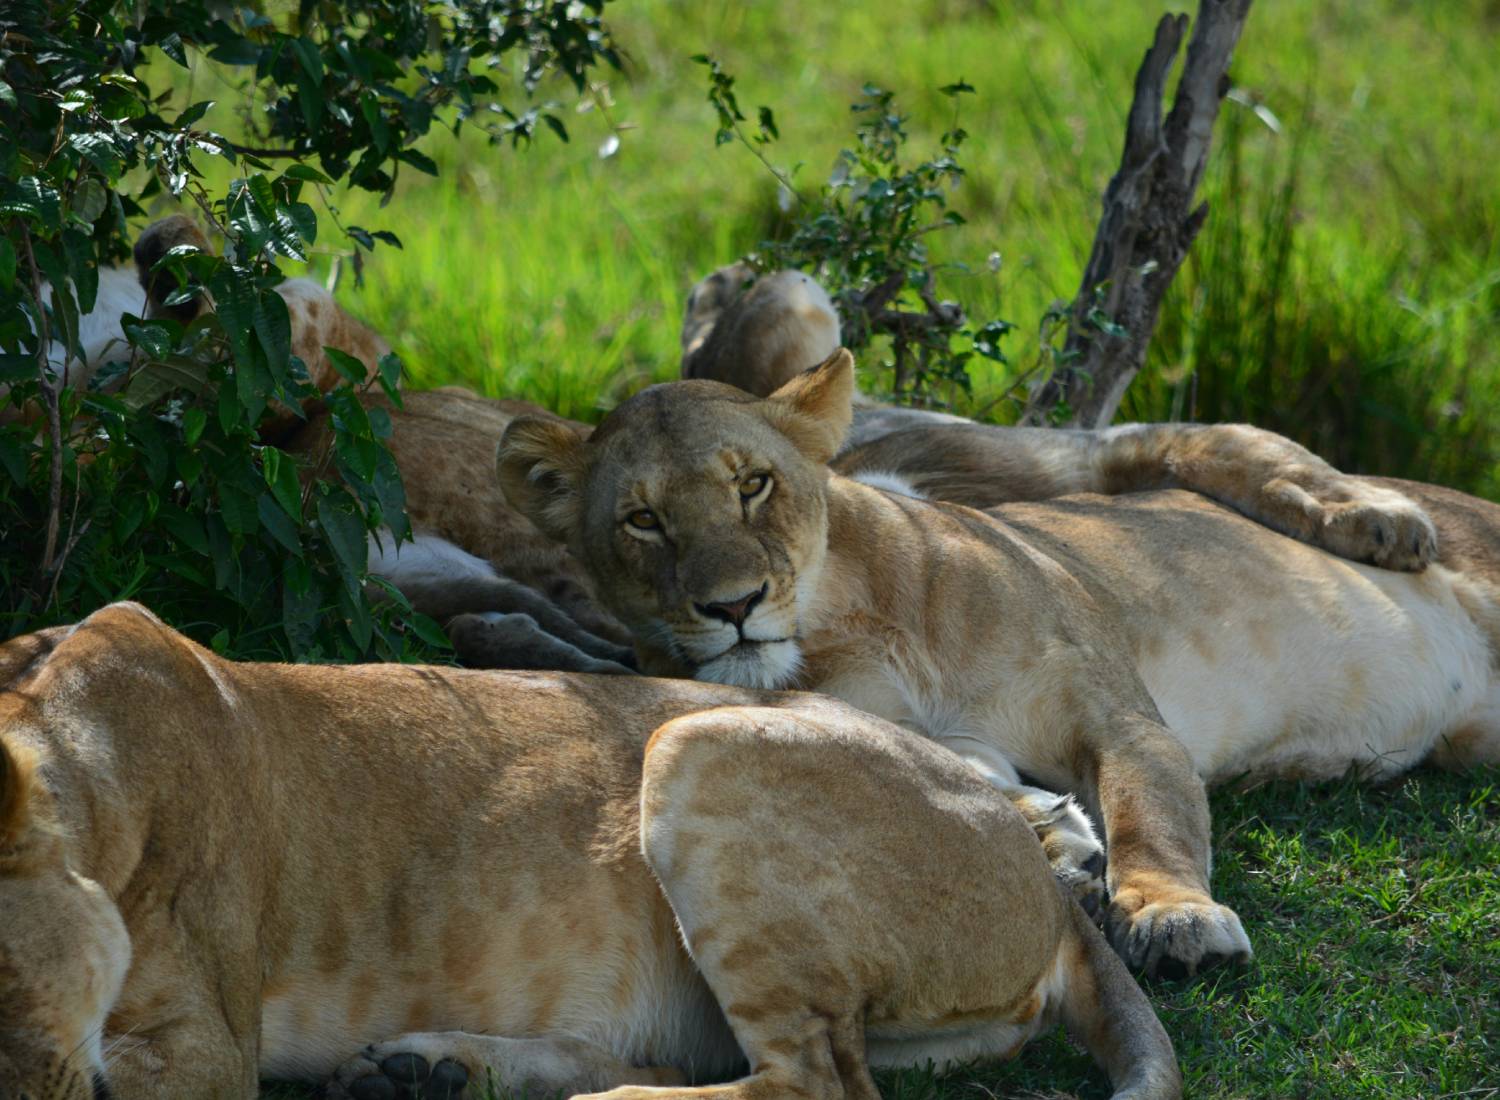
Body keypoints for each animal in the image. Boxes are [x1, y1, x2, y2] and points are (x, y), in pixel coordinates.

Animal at [496, 350, 1500, 980]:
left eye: (753, 485)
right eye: (643, 521)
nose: (733, 607)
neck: (852, 625)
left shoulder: (1119, 717)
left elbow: (1153, 818)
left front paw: (1172, 916)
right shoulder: (923, 735)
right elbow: (962, 779)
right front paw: (1054, 835)